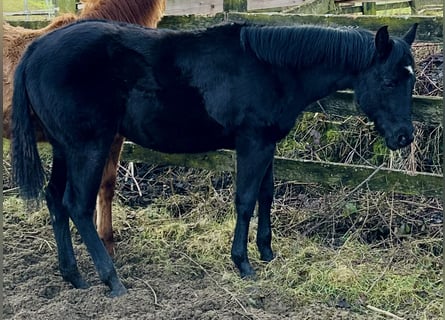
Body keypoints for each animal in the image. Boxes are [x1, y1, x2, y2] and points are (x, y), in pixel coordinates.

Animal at [13, 19, 416, 296]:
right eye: (389, 82)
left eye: (410, 81)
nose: (404, 136)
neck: (273, 69)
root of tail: (36, 48)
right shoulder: (253, 143)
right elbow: (246, 200)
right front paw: (243, 262)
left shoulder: (267, 144)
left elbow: (266, 195)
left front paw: (267, 251)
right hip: (89, 147)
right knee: (77, 206)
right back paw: (111, 280)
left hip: (65, 148)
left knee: (55, 201)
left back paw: (74, 276)